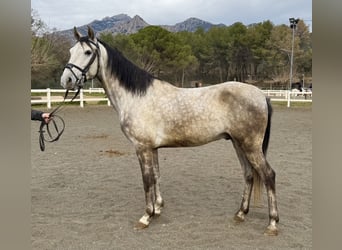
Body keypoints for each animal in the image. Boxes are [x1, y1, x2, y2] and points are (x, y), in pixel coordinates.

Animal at [60, 26, 280, 235]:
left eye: (88, 52)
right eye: (71, 51)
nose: (66, 80)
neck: (136, 96)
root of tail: (261, 94)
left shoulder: (142, 148)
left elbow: (147, 180)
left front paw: (146, 216)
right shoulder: (153, 148)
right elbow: (156, 176)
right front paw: (157, 209)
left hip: (250, 145)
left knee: (268, 175)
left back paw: (272, 224)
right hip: (238, 143)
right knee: (249, 174)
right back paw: (241, 213)